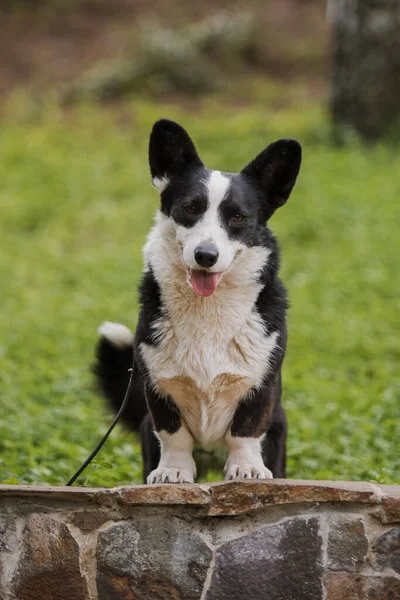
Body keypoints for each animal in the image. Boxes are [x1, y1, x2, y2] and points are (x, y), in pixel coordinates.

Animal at [93, 119, 300, 486]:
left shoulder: (260, 385)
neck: (208, 308)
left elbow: (245, 431)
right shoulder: (160, 388)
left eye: (238, 218)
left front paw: (247, 468)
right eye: (190, 209)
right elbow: (174, 436)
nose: (206, 255)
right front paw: (173, 471)